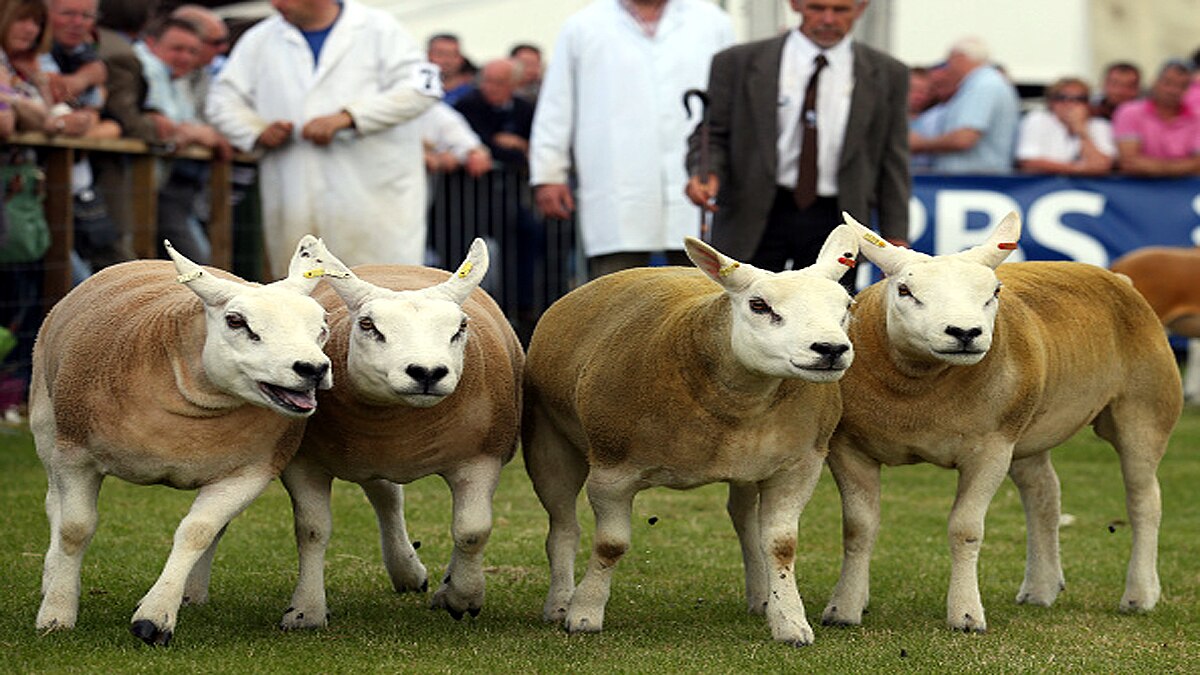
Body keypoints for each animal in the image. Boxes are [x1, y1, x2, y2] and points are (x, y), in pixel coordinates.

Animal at [31, 237, 334, 646]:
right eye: (236, 321)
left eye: (322, 327)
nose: (313, 369)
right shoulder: (75, 455)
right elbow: (74, 529)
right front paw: (57, 613)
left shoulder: (248, 472)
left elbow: (197, 532)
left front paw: (156, 615)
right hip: (47, 424)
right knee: (53, 505)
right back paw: (51, 579)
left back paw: (190, 592)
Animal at [240, 238, 522, 628]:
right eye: (368, 325)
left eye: (460, 327)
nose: (427, 372)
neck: (401, 421)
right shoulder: (304, 462)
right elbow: (311, 531)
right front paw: (306, 611)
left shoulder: (481, 458)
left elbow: (471, 530)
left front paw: (462, 597)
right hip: (367, 456)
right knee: (386, 496)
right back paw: (406, 569)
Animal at [522, 228, 860, 646]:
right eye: (759, 305)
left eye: (847, 305)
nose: (830, 349)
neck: (737, 404)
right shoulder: (612, 473)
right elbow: (610, 545)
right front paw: (584, 614)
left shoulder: (798, 466)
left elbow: (780, 546)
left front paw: (790, 622)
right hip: (548, 442)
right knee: (563, 528)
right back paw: (559, 603)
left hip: (748, 467)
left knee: (745, 522)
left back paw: (762, 596)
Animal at [817, 212, 1182, 633]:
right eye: (905, 290)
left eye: (995, 292)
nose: (965, 333)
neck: (918, 394)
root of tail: (1117, 277)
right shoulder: (848, 448)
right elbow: (858, 528)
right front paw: (844, 607)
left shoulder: (990, 449)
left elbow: (965, 529)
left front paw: (965, 615)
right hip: (1028, 429)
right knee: (1044, 495)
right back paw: (1040, 588)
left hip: (1144, 411)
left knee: (1144, 501)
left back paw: (1140, 594)